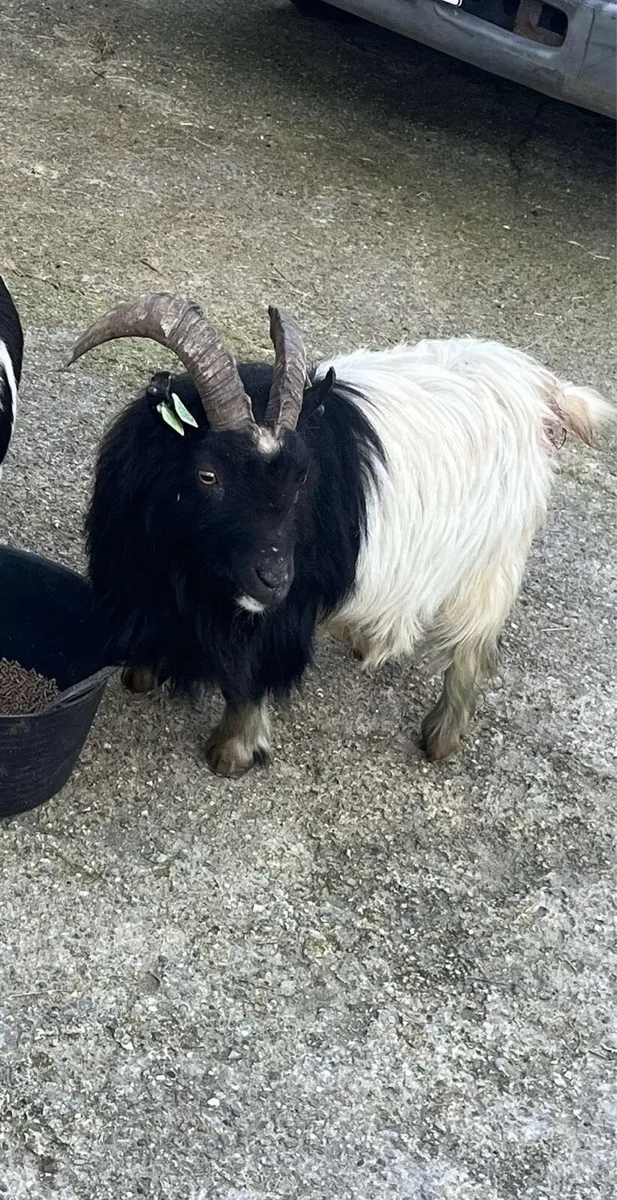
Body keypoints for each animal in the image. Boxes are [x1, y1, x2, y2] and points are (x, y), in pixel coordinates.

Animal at [67, 293, 614, 777]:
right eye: (208, 475)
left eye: (302, 476)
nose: (274, 578)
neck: (186, 565)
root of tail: (539, 386)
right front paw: (142, 674)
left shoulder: (283, 611)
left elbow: (252, 678)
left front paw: (233, 753)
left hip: (492, 562)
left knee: (473, 649)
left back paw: (440, 738)